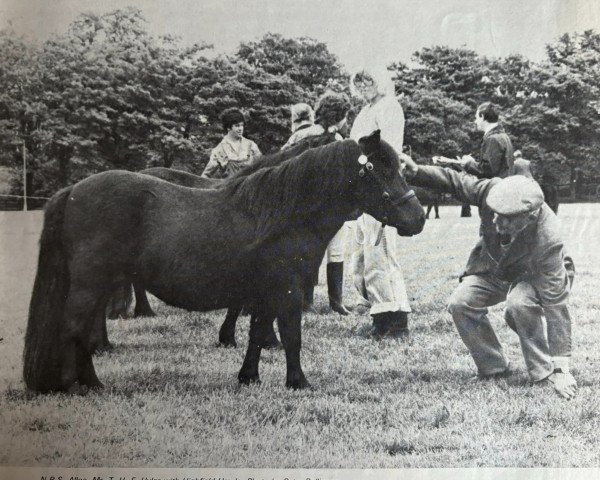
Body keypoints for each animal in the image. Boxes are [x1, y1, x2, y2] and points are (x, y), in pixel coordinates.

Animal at [24, 131, 426, 394]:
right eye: (381, 168)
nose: (418, 218)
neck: (285, 213)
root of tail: (72, 192)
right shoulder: (287, 287)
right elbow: (291, 335)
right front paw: (298, 382)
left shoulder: (264, 290)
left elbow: (258, 332)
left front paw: (248, 376)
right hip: (91, 285)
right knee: (74, 328)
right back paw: (84, 384)